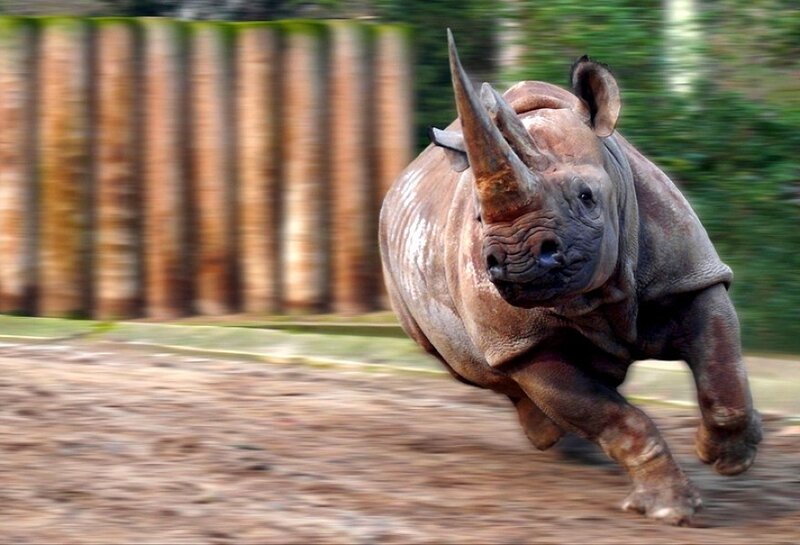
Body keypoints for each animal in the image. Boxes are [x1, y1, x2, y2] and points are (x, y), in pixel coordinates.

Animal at [379, 31, 762, 525]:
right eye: (480, 217)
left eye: (586, 197)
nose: (519, 260)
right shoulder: (523, 344)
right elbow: (613, 418)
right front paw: (668, 509)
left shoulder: (691, 278)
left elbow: (723, 375)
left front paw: (726, 457)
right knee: (472, 368)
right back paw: (551, 437)